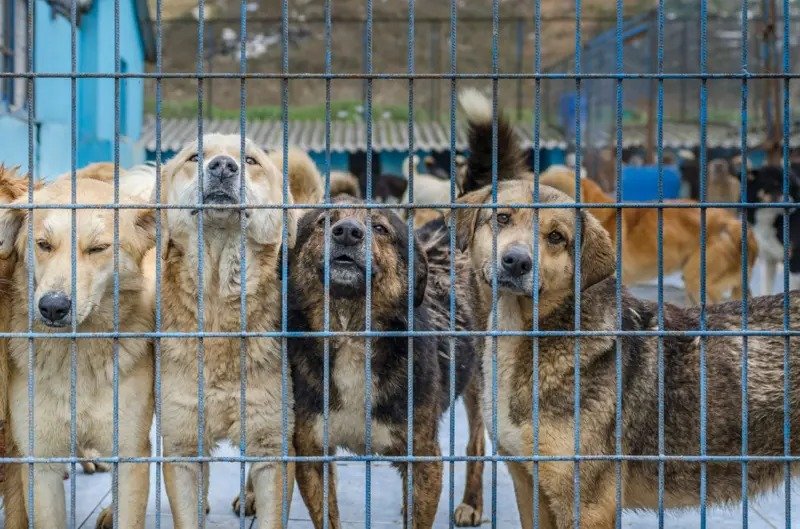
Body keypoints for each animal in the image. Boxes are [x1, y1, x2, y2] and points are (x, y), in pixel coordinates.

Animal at [284, 199, 484, 528]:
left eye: (379, 227)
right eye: (324, 222)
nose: (347, 232)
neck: (350, 333)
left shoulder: (424, 458)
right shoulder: (313, 453)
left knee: (477, 442)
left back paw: (471, 503)